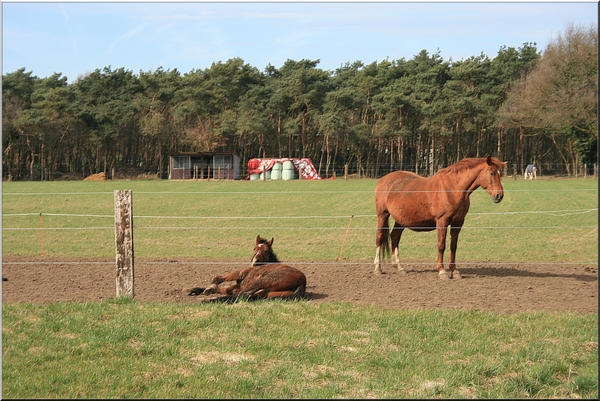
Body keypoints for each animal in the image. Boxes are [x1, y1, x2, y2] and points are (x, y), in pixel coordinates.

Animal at [376, 155, 506, 278]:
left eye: (500, 174)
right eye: (492, 173)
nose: (499, 196)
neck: (453, 189)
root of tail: (383, 179)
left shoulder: (458, 223)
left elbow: (453, 246)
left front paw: (454, 271)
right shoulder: (442, 222)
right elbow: (441, 245)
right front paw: (442, 271)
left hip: (401, 219)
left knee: (395, 237)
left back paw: (399, 267)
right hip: (383, 215)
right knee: (380, 238)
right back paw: (378, 268)